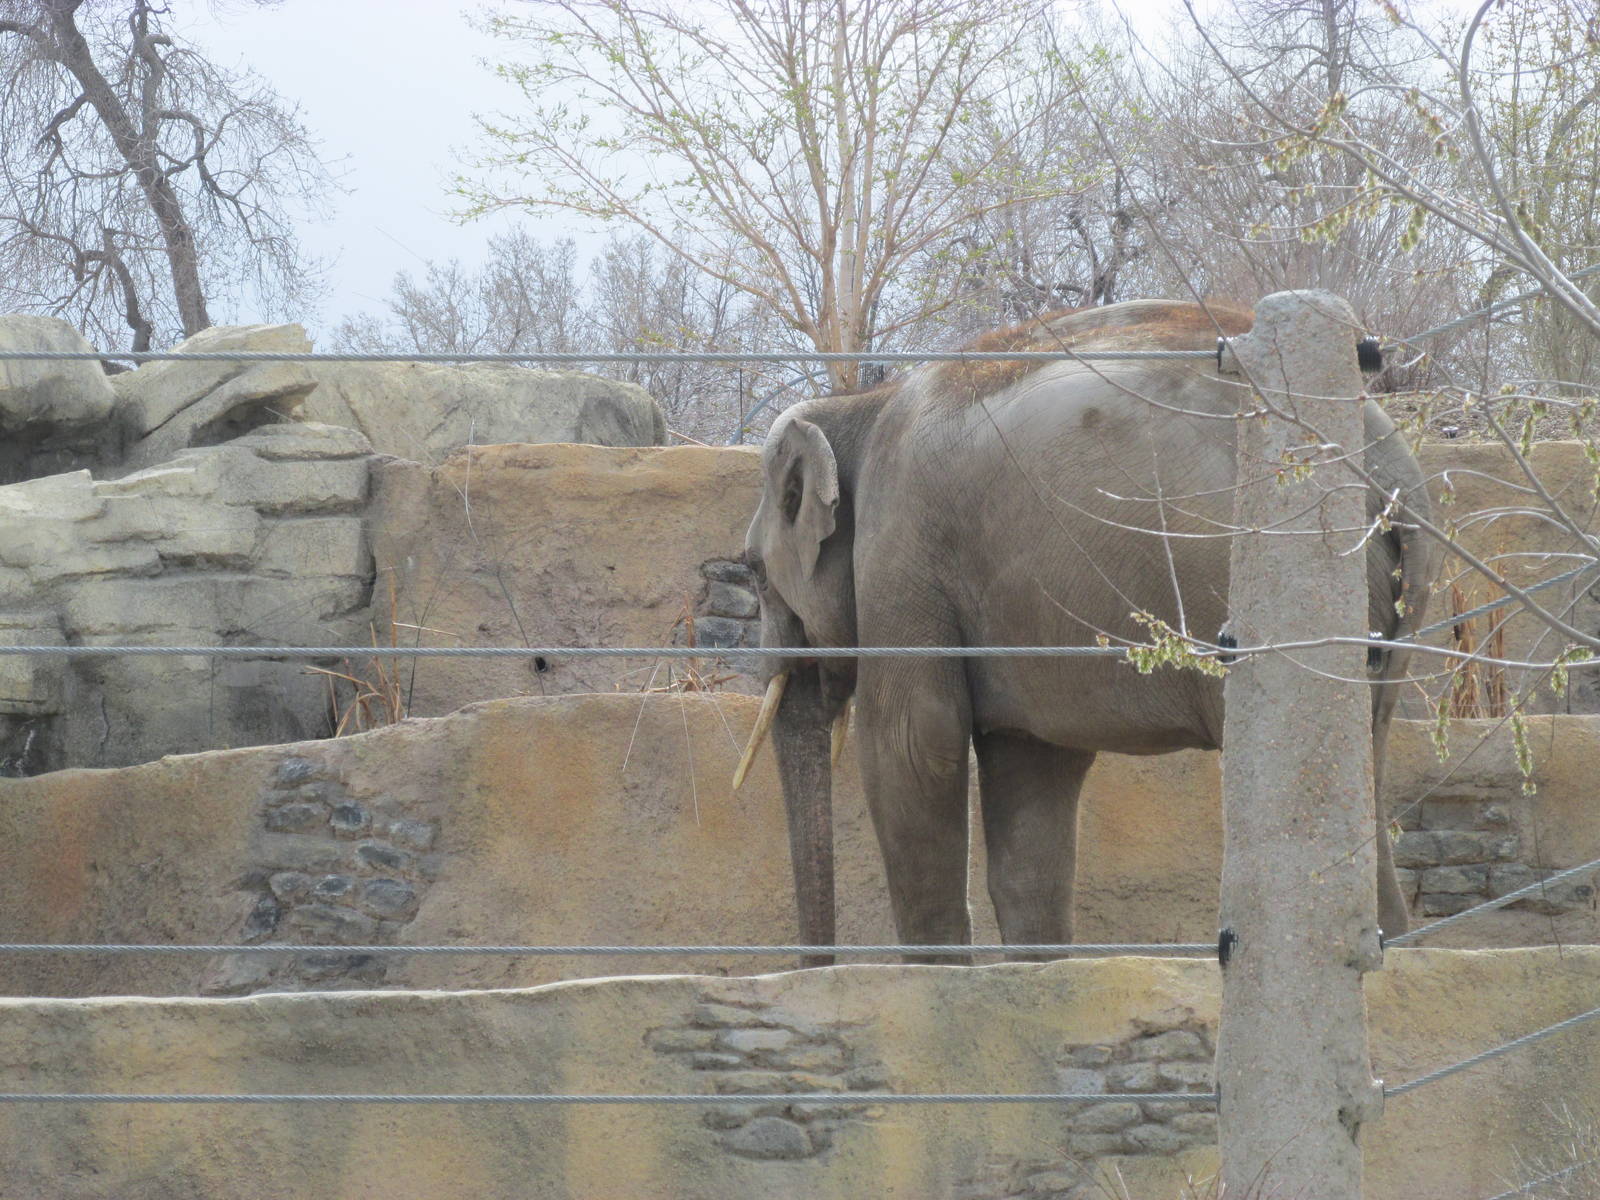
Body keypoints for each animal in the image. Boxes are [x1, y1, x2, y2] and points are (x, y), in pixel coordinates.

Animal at [734, 299, 1437, 966]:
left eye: (754, 571)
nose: (817, 967)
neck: (861, 404)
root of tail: (1389, 463)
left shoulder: (900, 547)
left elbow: (913, 745)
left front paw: (939, 984)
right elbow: (1031, 777)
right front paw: (1035, 977)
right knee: (1364, 764)